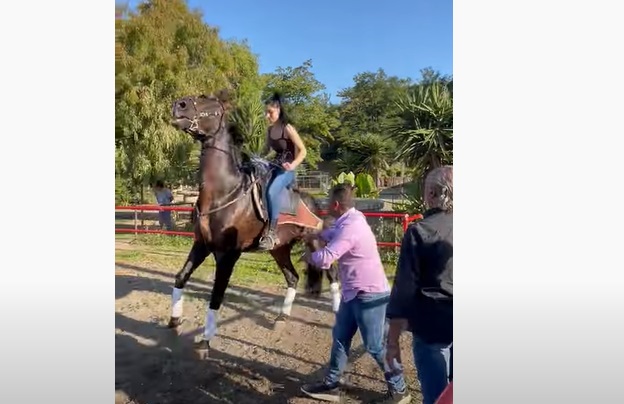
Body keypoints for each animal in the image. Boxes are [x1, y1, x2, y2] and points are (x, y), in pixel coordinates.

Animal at [168, 90, 338, 356]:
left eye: (211, 104)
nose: (179, 104)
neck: (225, 193)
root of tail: (313, 202)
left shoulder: (227, 254)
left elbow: (216, 296)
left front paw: (205, 341)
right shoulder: (201, 245)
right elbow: (180, 277)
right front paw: (175, 321)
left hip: (316, 242)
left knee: (332, 274)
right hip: (279, 248)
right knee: (292, 277)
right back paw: (281, 318)